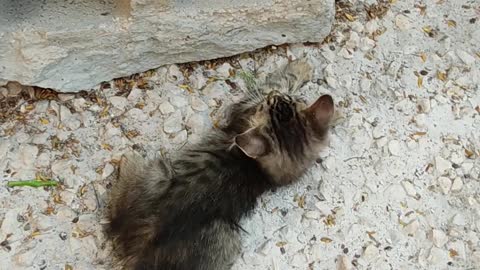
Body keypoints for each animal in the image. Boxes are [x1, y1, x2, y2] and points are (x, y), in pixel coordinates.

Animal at [106, 59, 332, 270]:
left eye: (271, 103)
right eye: (288, 101)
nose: (275, 96)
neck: (258, 169)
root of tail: (141, 246)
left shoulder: (246, 107)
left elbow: (278, 81)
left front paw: (298, 68)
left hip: (161, 174)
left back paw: (126, 160)